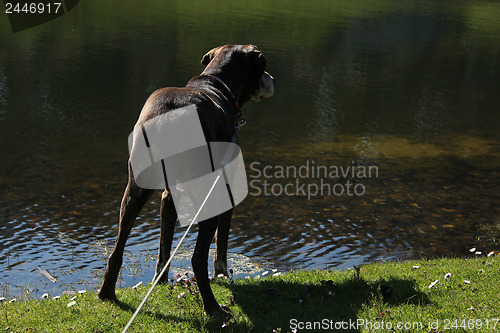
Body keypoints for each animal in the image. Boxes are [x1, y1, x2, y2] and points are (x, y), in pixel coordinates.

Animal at [98, 44, 274, 316]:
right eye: (263, 65)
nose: (272, 78)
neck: (216, 83)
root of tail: (167, 118)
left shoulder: (168, 196)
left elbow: (164, 249)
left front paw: (160, 282)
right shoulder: (226, 191)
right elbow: (220, 248)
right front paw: (223, 276)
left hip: (134, 192)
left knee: (116, 250)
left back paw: (107, 293)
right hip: (208, 198)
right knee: (198, 257)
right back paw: (214, 308)